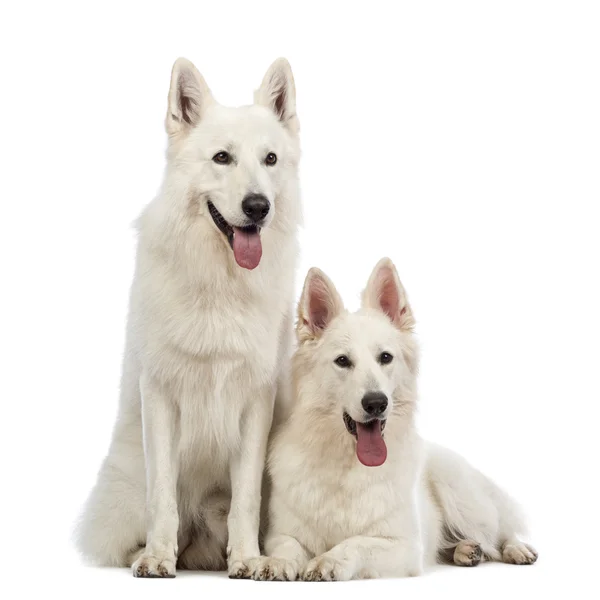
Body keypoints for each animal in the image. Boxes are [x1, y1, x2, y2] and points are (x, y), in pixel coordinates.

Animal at [254, 258, 540, 580]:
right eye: (342, 361)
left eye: (385, 358)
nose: (376, 403)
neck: (346, 467)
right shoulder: (282, 534)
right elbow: (286, 547)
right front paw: (276, 563)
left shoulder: (403, 546)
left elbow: (356, 543)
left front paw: (328, 561)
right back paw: (465, 550)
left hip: (461, 493)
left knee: (500, 528)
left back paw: (515, 548)